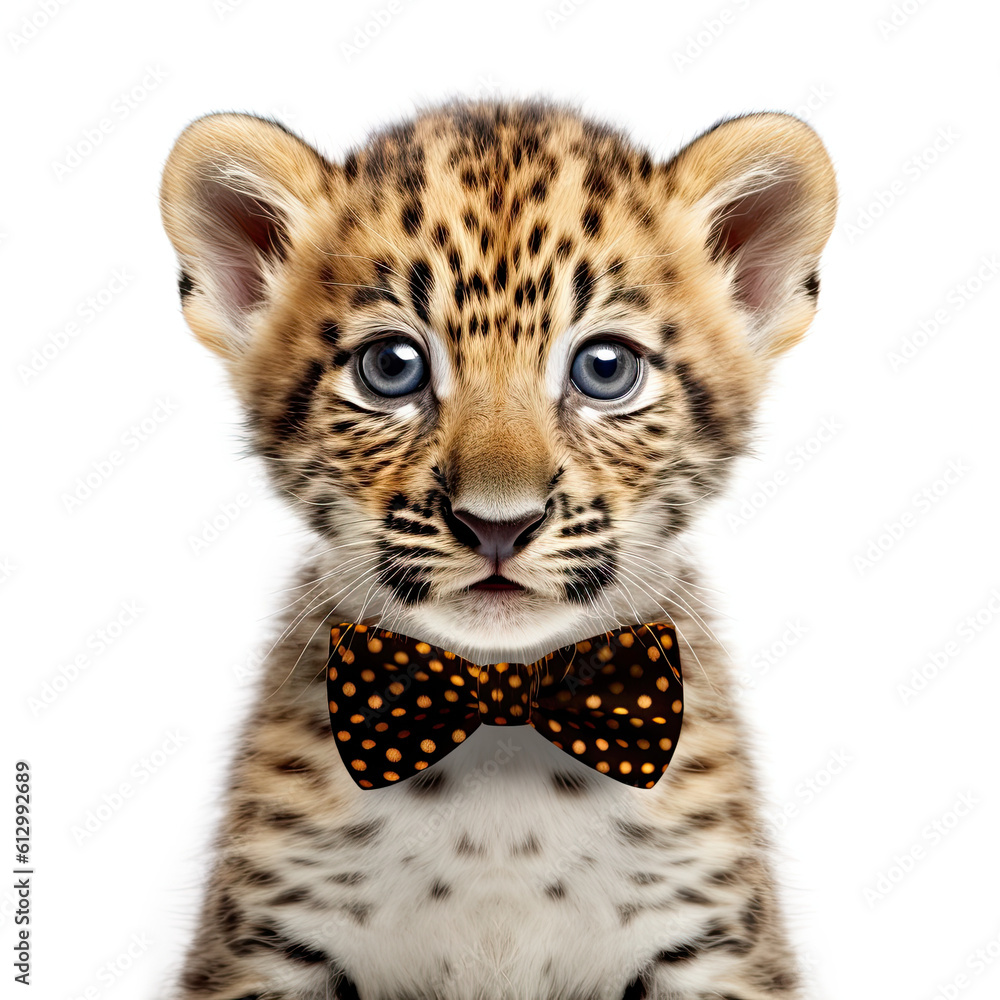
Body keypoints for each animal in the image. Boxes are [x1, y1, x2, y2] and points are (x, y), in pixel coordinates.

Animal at [159, 97, 837, 1000]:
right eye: (392, 366)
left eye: (606, 368)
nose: (497, 525)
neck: (500, 715)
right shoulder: (269, 944)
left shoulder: (711, 944)